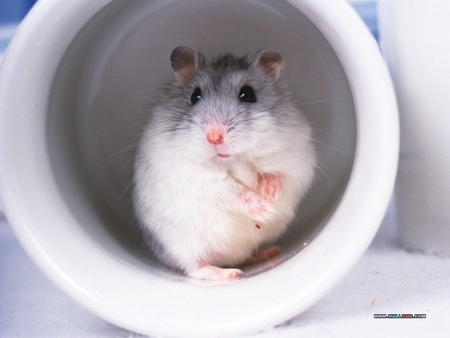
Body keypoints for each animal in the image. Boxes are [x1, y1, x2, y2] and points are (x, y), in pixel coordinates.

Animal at [133, 46, 316, 280]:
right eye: (195, 96)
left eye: (248, 94)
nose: (214, 137)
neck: (234, 159)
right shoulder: (199, 179)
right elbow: (231, 191)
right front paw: (266, 210)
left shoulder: (296, 159)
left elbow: (279, 175)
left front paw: (270, 195)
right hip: (179, 243)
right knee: (195, 267)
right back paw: (229, 274)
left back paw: (269, 252)